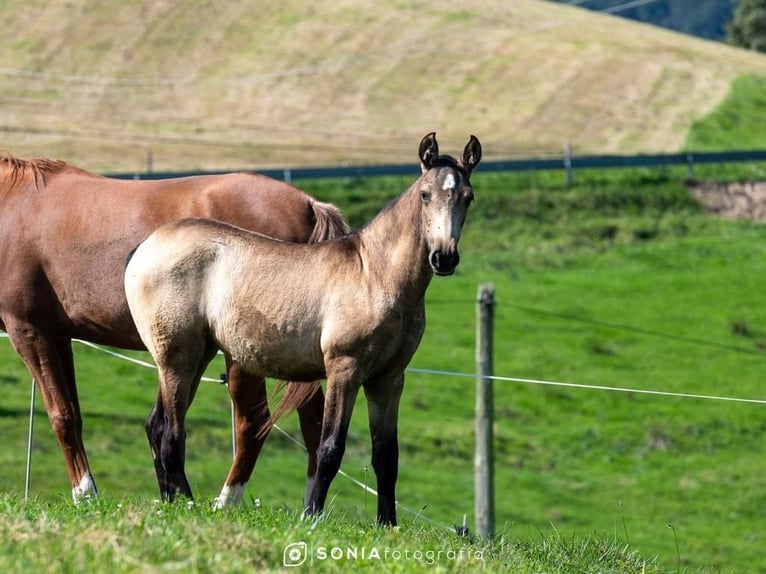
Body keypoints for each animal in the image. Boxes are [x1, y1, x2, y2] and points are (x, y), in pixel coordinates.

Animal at [0, 156, 348, 504]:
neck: (14, 201)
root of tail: (308, 204)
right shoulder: (59, 337)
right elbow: (74, 411)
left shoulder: (29, 332)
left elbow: (62, 415)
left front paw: (85, 494)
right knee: (312, 422)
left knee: (253, 422)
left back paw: (226, 502)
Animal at [124, 134, 484, 528]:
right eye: (424, 194)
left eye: (468, 196)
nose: (444, 258)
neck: (375, 274)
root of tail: (145, 248)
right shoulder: (345, 369)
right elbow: (329, 448)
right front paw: (311, 517)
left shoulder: (388, 379)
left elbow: (386, 457)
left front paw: (387, 526)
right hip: (177, 358)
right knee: (172, 433)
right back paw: (188, 505)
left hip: (195, 356)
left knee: (157, 426)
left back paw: (172, 503)